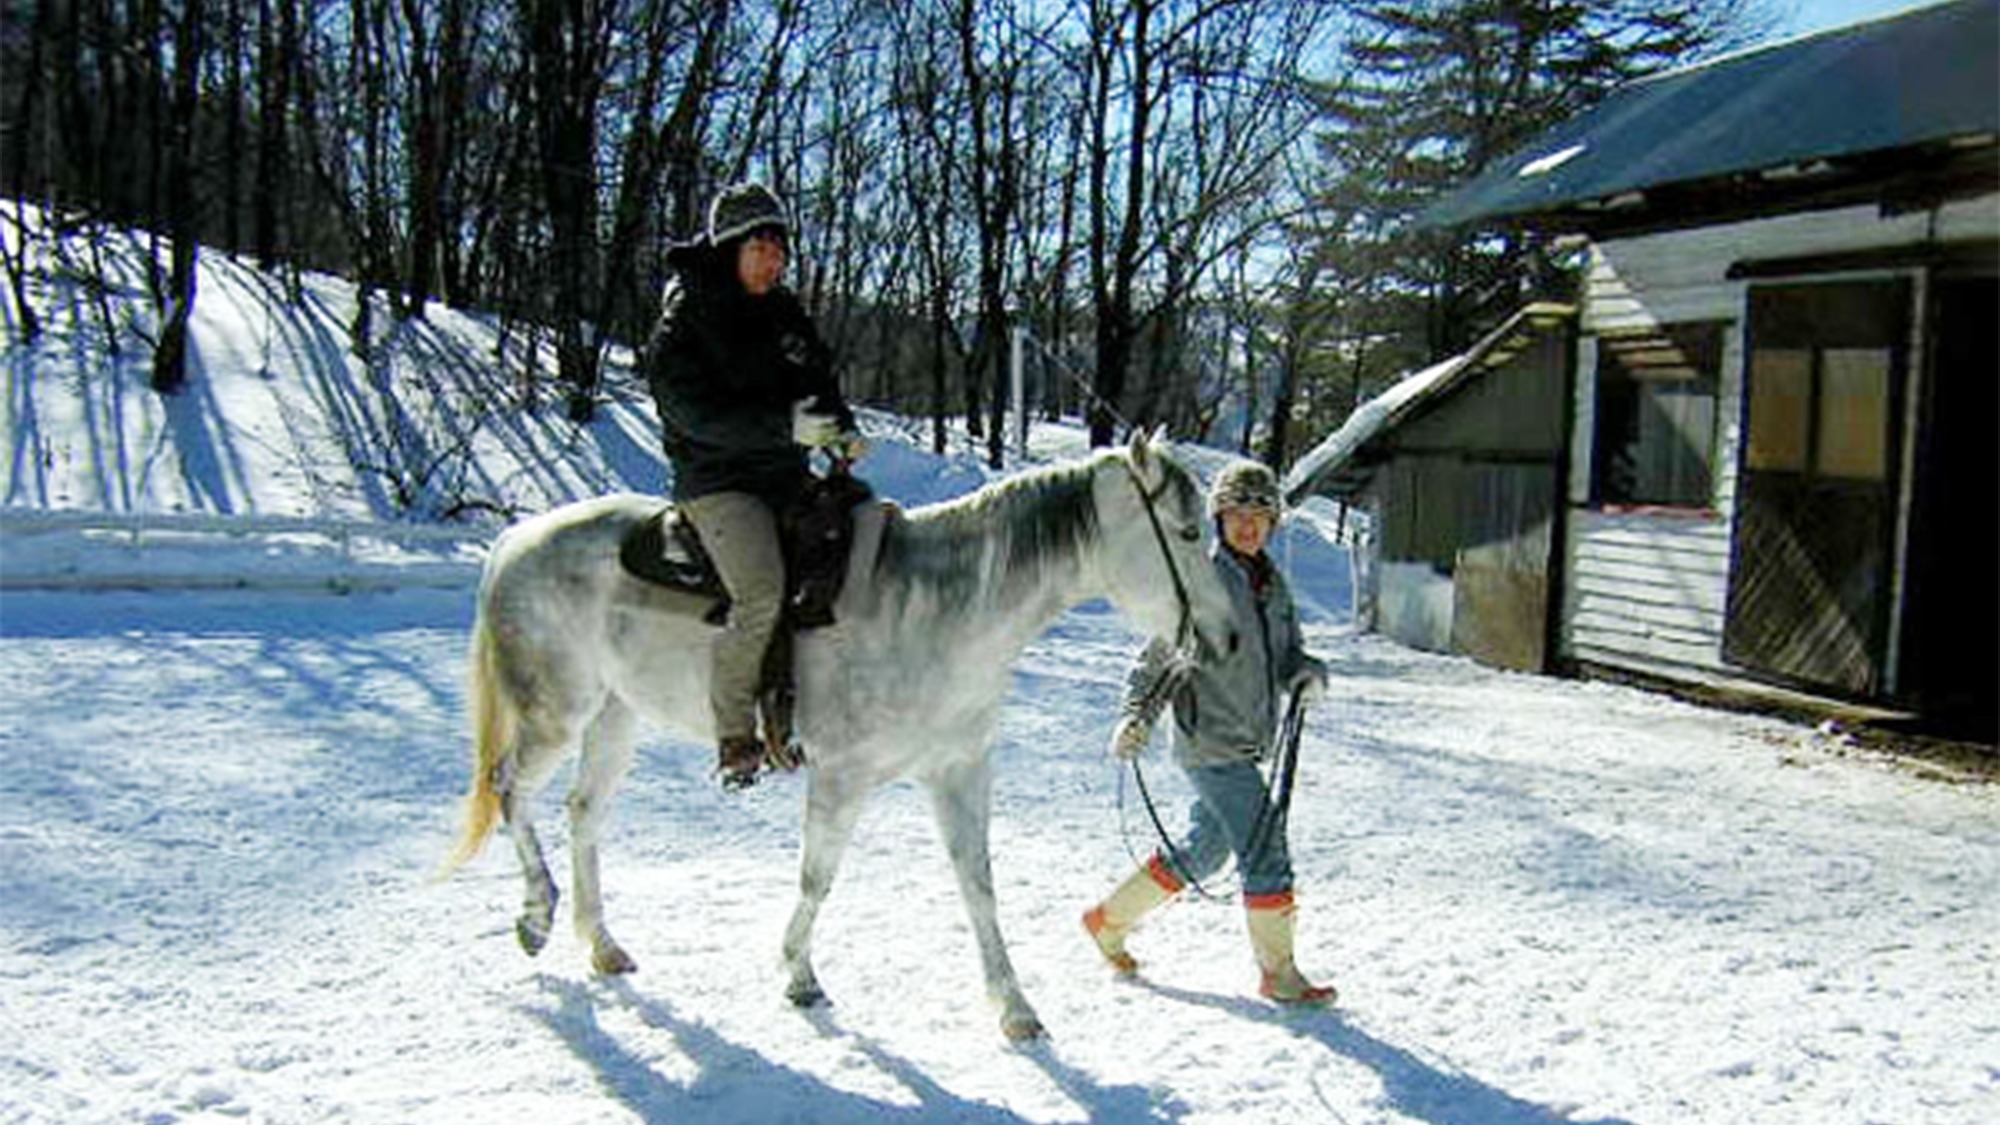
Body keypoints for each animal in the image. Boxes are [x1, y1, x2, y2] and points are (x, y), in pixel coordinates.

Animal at [444, 428, 1224, 1032]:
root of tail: (516, 538)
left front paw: (1015, 1008)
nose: (1224, 636)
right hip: (557, 712)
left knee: (584, 814)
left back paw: (601, 944)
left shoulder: (959, 771)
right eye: (1187, 532)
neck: (938, 615)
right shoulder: (842, 775)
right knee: (508, 789)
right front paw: (799, 976)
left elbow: (978, 883)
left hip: (616, 716)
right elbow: (817, 877)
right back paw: (536, 917)